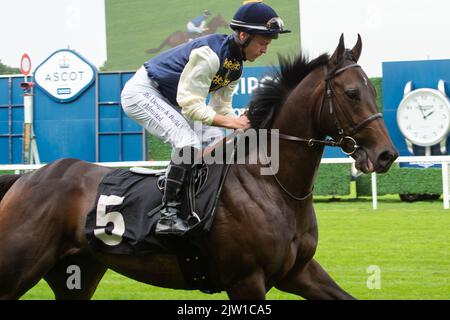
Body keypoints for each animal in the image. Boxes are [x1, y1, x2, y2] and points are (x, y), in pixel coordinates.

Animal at [0, 35, 396, 300]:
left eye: (373, 91)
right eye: (351, 94)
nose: (386, 155)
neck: (272, 184)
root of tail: (27, 178)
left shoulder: (300, 272)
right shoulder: (246, 280)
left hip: (77, 273)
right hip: (18, 266)